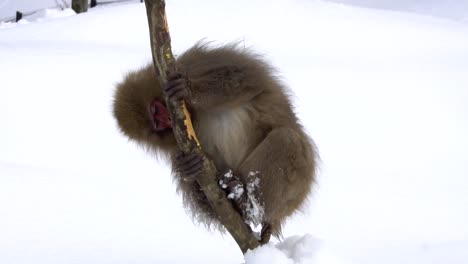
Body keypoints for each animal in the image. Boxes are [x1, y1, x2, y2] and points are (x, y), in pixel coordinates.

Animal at [114, 41, 318, 241]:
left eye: (155, 110)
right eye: (156, 125)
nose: (167, 121)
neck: (194, 116)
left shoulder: (196, 63)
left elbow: (240, 78)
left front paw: (189, 91)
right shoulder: (177, 143)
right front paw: (186, 167)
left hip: (299, 186)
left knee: (287, 139)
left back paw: (248, 205)